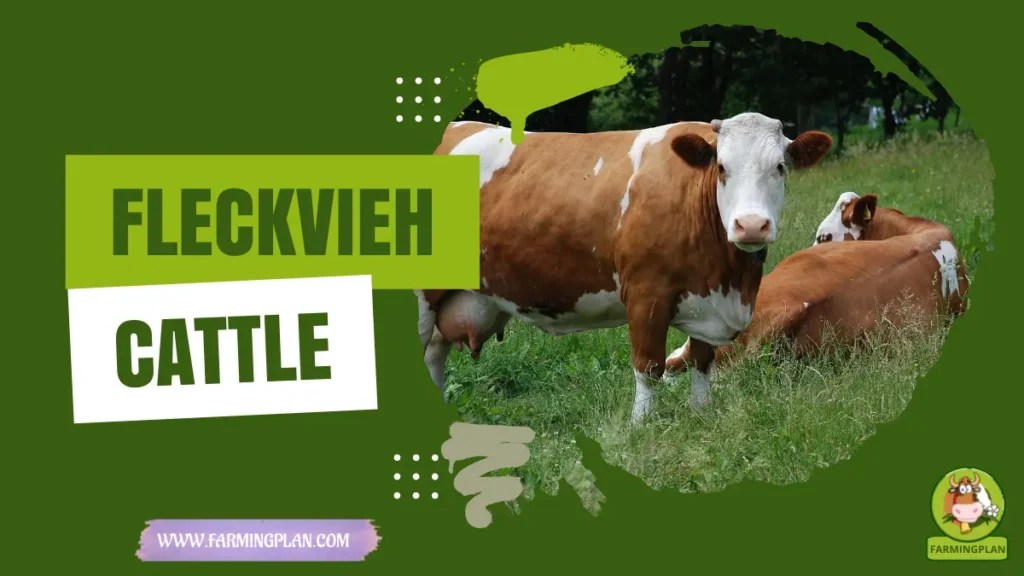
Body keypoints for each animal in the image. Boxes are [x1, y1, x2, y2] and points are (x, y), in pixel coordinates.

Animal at [415, 113, 833, 424]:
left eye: (779, 168)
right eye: (722, 168)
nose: (750, 225)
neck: (730, 279)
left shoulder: (707, 301)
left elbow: (702, 360)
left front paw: (702, 412)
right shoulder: (647, 295)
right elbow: (648, 366)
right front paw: (642, 424)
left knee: (433, 354)